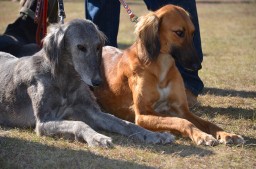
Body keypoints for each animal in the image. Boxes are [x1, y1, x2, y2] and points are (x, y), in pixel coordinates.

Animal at [0, 19, 174, 147]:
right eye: (81, 47)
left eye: (98, 47)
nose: (97, 82)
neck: (65, 79)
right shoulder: (43, 121)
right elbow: (79, 123)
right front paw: (97, 137)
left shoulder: (92, 111)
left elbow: (126, 124)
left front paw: (155, 134)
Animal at [94, 4, 244, 145]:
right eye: (179, 32)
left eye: (193, 33)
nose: (197, 66)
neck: (161, 67)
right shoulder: (143, 114)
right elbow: (181, 121)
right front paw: (202, 135)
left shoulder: (182, 109)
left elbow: (208, 123)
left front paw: (227, 134)